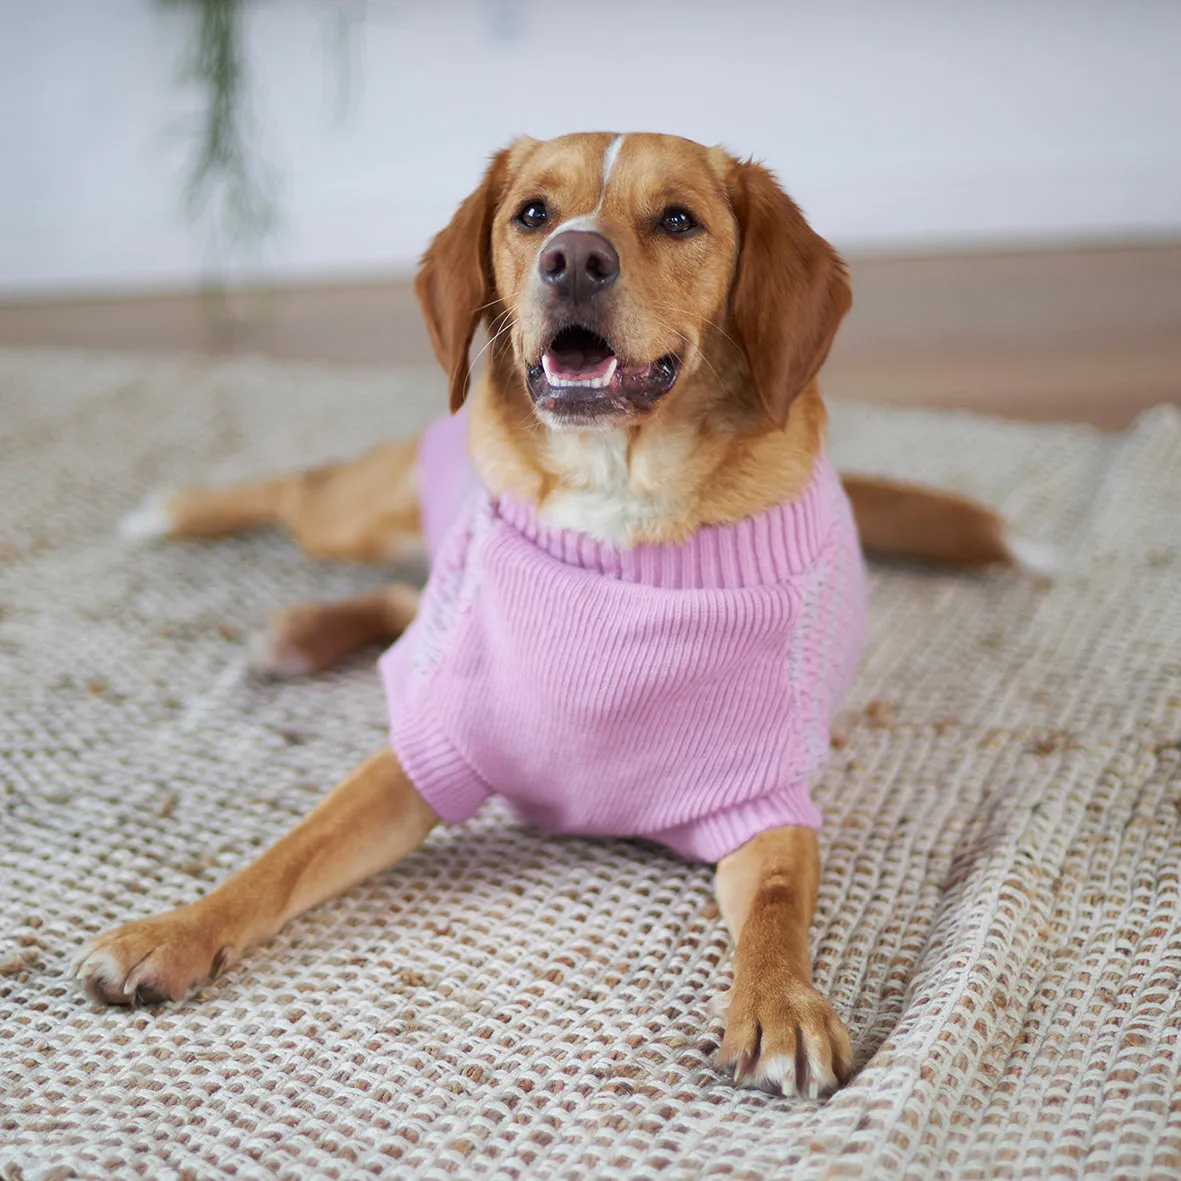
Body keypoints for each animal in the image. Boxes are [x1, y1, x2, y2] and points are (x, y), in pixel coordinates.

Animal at [76, 129, 1034, 1095]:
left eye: (678, 219)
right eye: (532, 213)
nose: (573, 257)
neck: (617, 502)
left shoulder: (763, 804)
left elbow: (774, 909)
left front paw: (779, 1003)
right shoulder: (424, 750)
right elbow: (282, 857)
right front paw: (174, 930)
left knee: (398, 593)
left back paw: (296, 629)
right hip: (353, 521)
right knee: (301, 494)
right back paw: (185, 518)